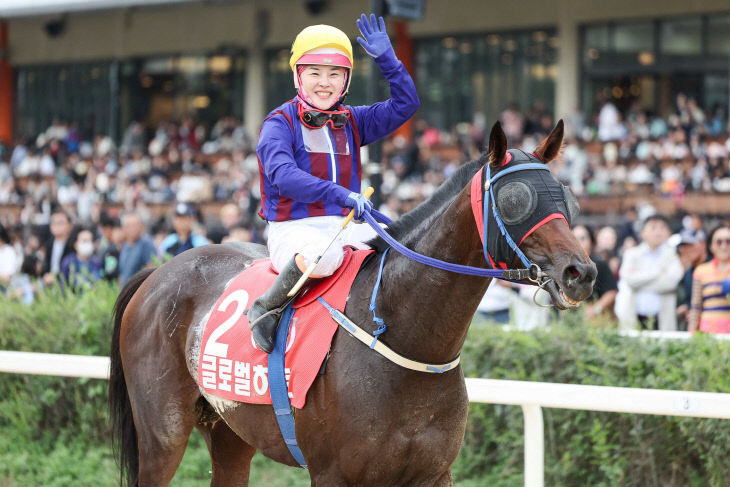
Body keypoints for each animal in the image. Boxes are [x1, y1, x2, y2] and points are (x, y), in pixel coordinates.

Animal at [109, 120, 596, 486]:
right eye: (516, 200)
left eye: (567, 197)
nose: (582, 273)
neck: (407, 341)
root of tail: (157, 272)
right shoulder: (334, 474)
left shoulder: (434, 473)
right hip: (163, 433)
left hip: (230, 432)